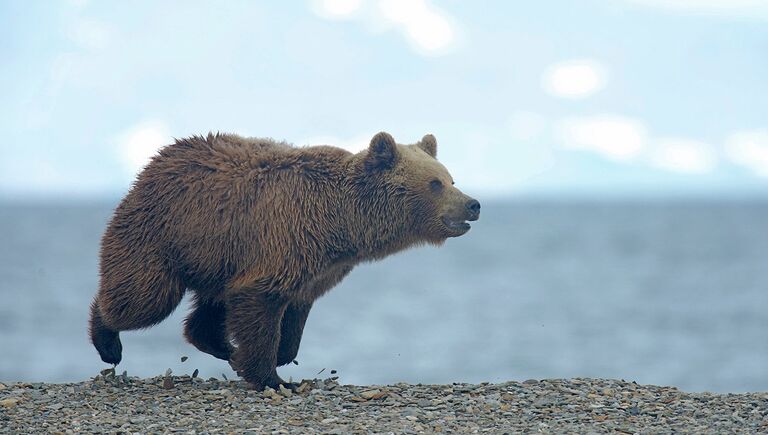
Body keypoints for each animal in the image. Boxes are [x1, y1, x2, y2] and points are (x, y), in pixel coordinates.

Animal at [90, 131, 480, 390]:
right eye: (434, 183)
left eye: (451, 178)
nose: (473, 204)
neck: (343, 222)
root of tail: (158, 159)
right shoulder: (284, 238)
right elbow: (260, 301)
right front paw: (272, 377)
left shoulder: (319, 265)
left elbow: (294, 311)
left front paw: (276, 356)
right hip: (162, 233)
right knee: (144, 298)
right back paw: (108, 341)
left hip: (217, 253)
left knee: (209, 306)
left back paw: (222, 346)